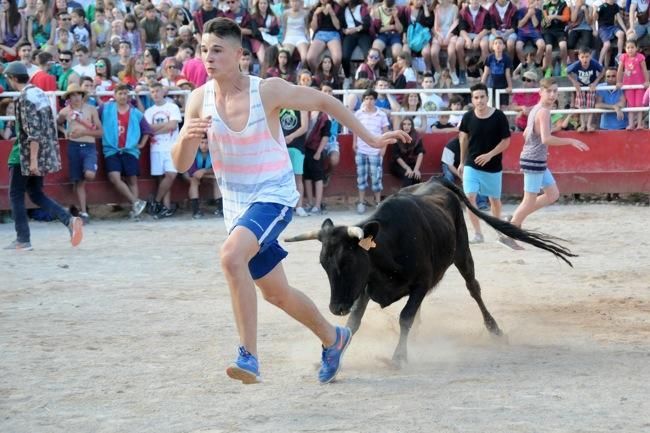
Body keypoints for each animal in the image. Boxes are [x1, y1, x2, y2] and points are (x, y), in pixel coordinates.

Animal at [284, 176, 572, 364]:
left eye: (348, 261)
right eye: (324, 264)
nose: (335, 308)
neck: (388, 245)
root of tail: (435, 180)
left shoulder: (421, 282)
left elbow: (405, 316)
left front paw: (399, 357)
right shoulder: (365, 287)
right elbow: (354, 322)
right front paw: (335, 353)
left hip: (462, 253)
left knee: (474, 289)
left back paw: (495, 330)